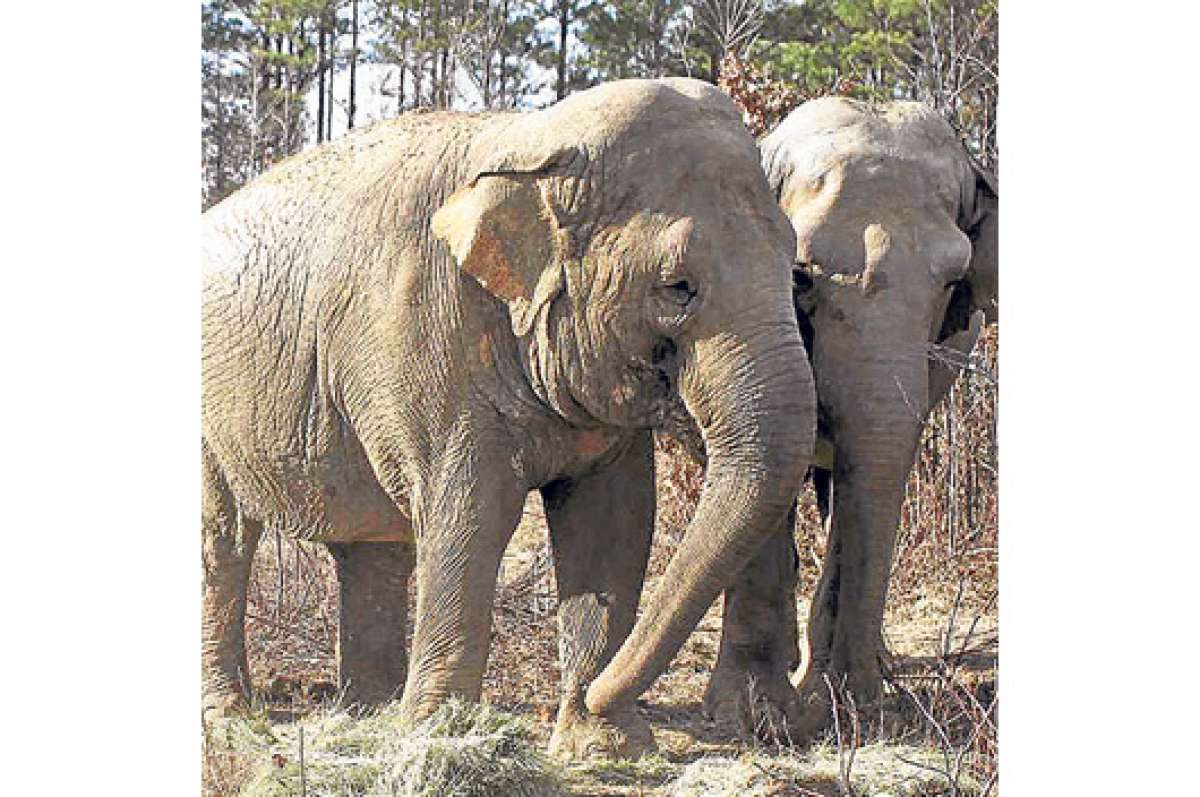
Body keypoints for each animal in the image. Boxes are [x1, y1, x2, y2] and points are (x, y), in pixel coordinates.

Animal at [201, 77, 816, 758]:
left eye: (796, 270)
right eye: (677, 285)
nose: (604, 694)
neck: (535, 138)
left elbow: (614, 518)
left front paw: (601, 744)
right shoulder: (424, 331)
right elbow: (472, 510)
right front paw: (439, 735)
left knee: (375, 543)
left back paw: (368, 714)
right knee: (223, 541)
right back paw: (232, 717)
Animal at [696, 97, 998, 738]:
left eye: (952, 281)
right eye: (801, 275)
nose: (861, 710)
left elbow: (867, 480)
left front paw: (829, 698)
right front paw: (749, 714)